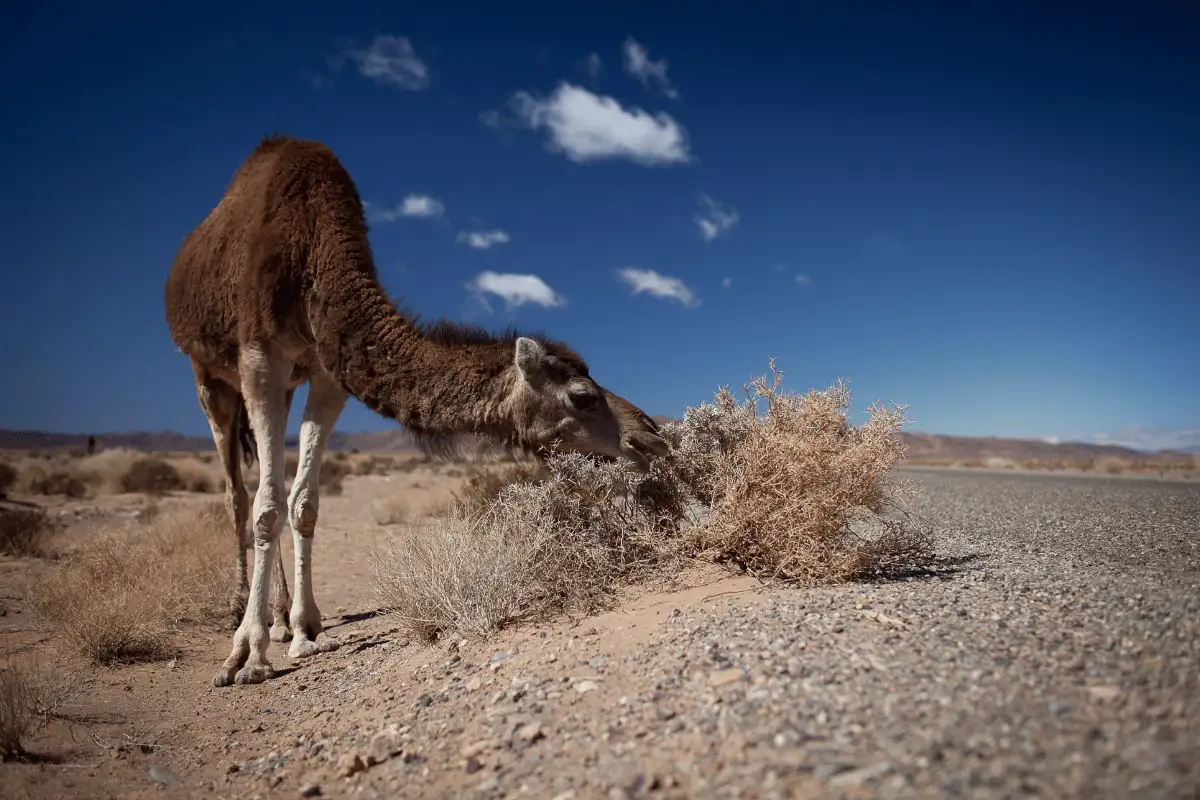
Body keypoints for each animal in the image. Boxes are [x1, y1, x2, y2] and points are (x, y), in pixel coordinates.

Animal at [164, 134, 672, 686]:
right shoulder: (260, 354)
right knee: (239, 494)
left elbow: (303, 503)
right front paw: (246, 655)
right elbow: (268, 506)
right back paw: (242, 613)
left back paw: (280, 619)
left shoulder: (328, 369)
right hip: (208, 374)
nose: (650, 438)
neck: (316, 252)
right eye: (582, 396)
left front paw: (305, 629)